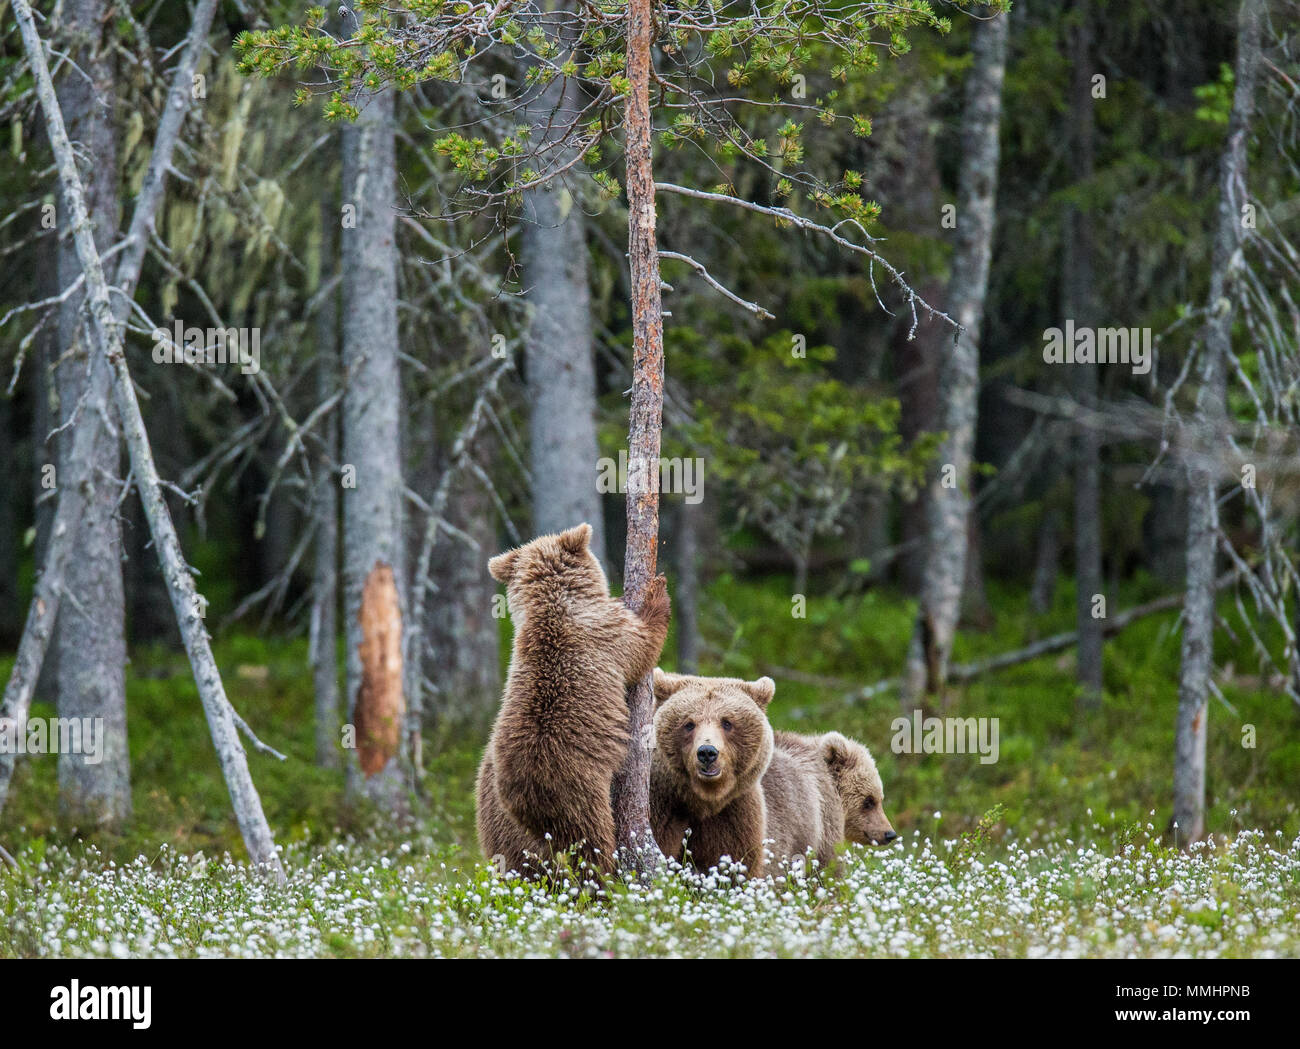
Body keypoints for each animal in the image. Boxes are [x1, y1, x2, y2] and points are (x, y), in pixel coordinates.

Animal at [475, 523, 670, 877]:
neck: (552, 605)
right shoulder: (604, 635)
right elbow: (642, 645)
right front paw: (657, 591)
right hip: (576, 784)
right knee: (591, 838)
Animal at [650, 668, 776, 877]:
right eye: (689, 723)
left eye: (727, 722)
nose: (707, 752)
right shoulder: (661, 803)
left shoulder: (734, 813)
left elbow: (734, 861)